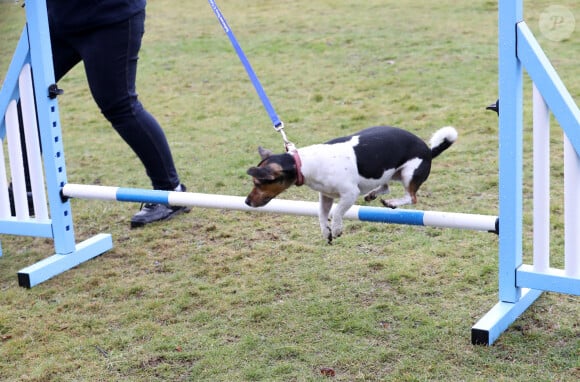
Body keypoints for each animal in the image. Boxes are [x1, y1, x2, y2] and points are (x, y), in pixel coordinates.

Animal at [245, 127, 458, 243]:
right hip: (388, 173)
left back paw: (392, 202)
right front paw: (326, 231)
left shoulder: (349, 195)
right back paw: (373, 194)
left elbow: (338, 213)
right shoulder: (326, 196)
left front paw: (337, 229)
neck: (302, 163)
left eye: (257, 183)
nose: (246, 202)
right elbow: (322, 215)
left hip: (409, 173)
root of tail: (429, 150)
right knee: (386, 186)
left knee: (411, 197)